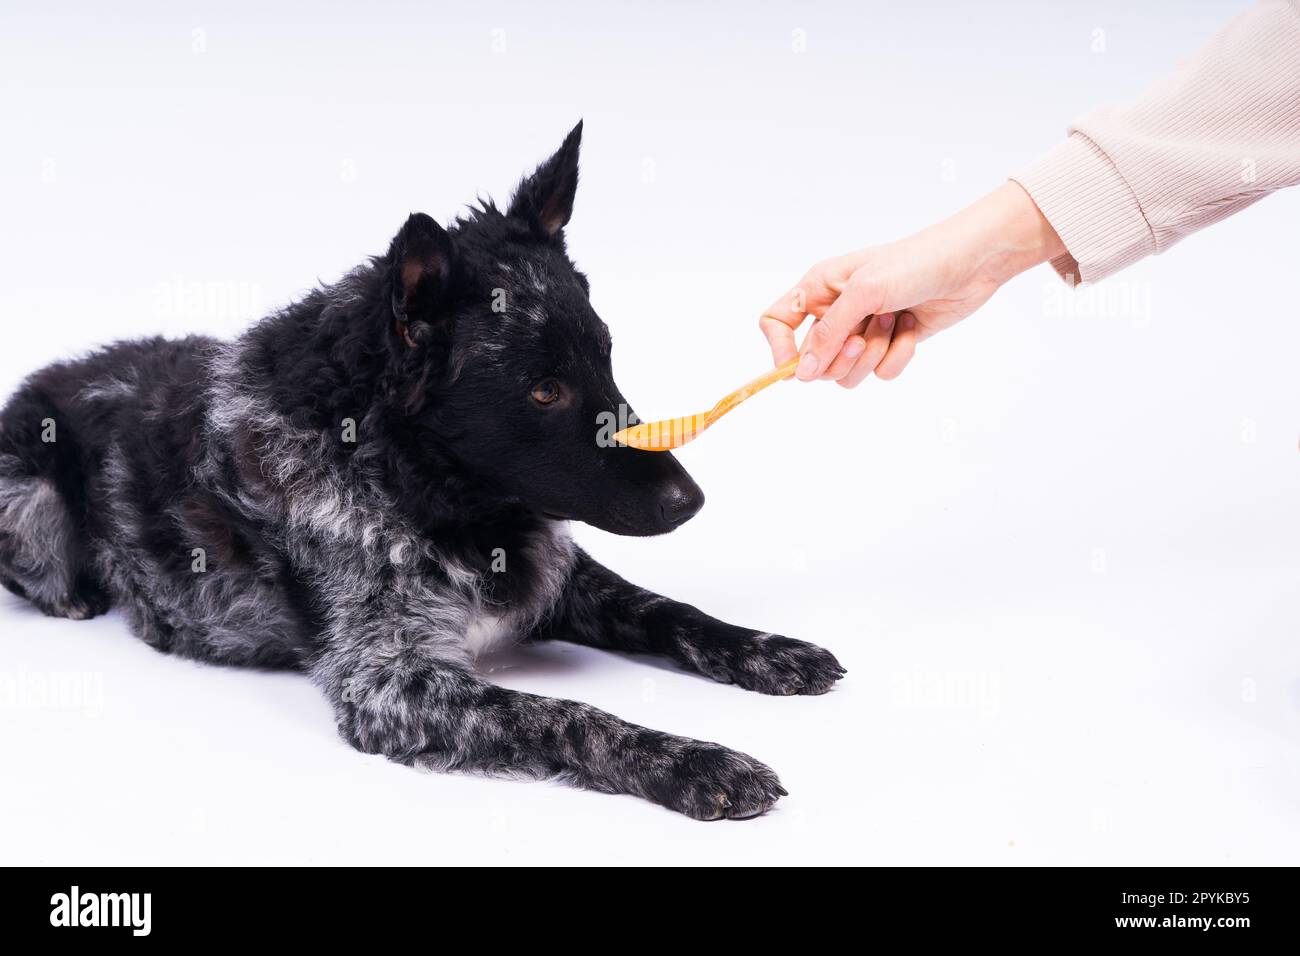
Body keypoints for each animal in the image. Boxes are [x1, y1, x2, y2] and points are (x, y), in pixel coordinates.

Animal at [0, 123, 842, 816]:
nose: (688, 499)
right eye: (544, 390)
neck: (409, 478)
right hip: (27, 500)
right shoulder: (392, 684)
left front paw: (770, 650)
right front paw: (694, 762)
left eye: (606, 358)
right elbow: (565, 717)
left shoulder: (559, 577)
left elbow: (671, 610)